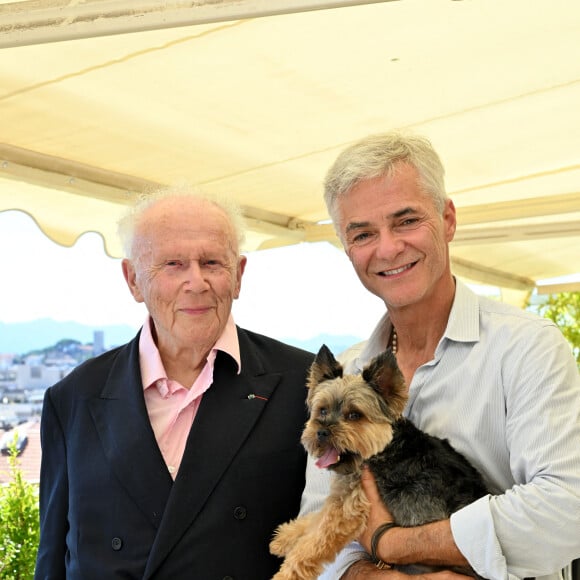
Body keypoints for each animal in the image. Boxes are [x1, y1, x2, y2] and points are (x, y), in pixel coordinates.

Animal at [270, 344, 488, 580]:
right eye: (323, 410)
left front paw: (285, 574)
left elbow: (313, 543)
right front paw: (285, 537)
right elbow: (314, 519)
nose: (321, 432)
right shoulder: (341, 497)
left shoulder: (349, 508)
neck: (384, 448)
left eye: (354, 415)